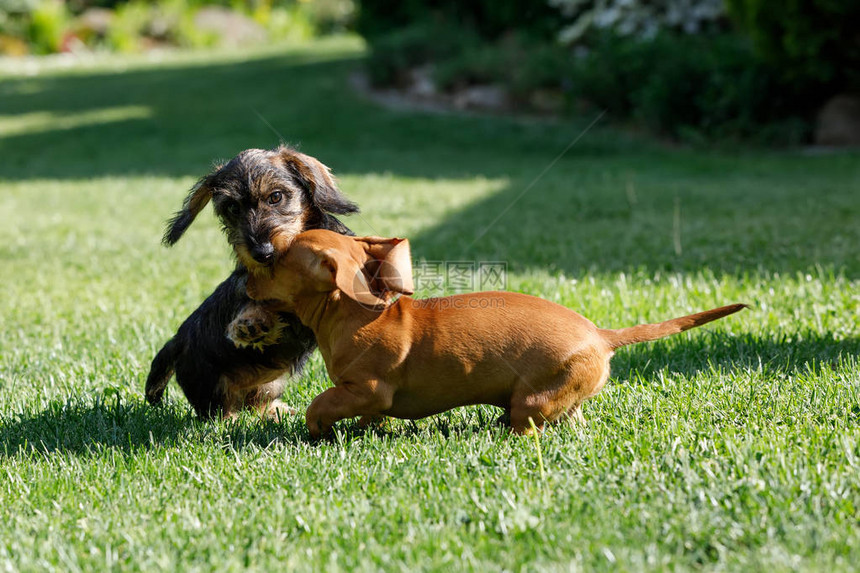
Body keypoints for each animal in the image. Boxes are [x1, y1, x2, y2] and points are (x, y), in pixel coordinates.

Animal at [144, 145, 356, 418]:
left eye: (275, 197)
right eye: (233, 208)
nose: (262, 253)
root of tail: (176, 341)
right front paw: (251, 323)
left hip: (269, 383)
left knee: (256, 402)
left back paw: (277, 411)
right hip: (211, 386)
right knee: (221, 412)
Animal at [242, 230, 744, 436]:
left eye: (276, 258)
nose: (245, 278)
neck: (353, 313)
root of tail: (602, 336)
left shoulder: (366, 388)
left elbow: (321, 403)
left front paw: (318, 430)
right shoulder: (366, 398)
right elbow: (367, 417)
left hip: (533, 400)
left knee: (530, 426)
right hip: (565, 396)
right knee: (573, 418)